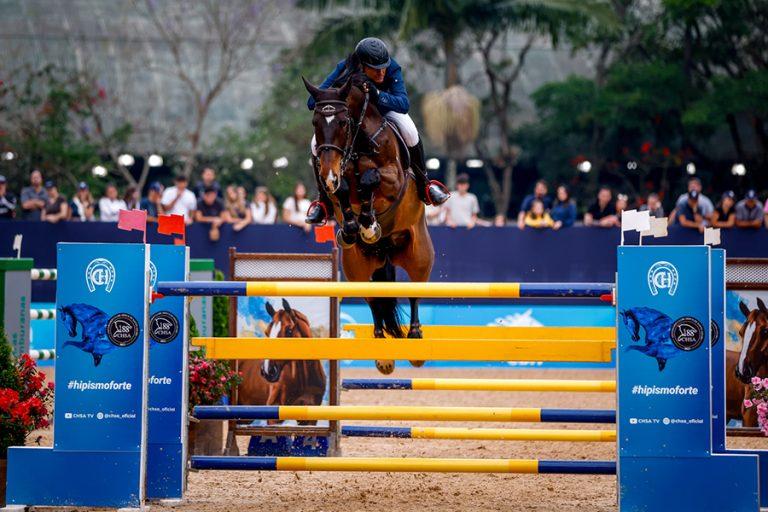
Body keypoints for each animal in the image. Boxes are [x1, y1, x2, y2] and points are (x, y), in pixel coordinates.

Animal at [304, 75, 436, 376]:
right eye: (315, 122)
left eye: (343, 122)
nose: (328, 173)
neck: (358, 145)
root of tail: (386, 251)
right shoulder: (336, 184)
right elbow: (343, 191)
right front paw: (356, 226)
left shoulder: (393, 178)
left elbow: (370, 179)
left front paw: (368, 222)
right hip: (356, 267)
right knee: (373, 298)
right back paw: (382, 355)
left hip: (419, 253)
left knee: (414, 292)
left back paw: (415, 340)